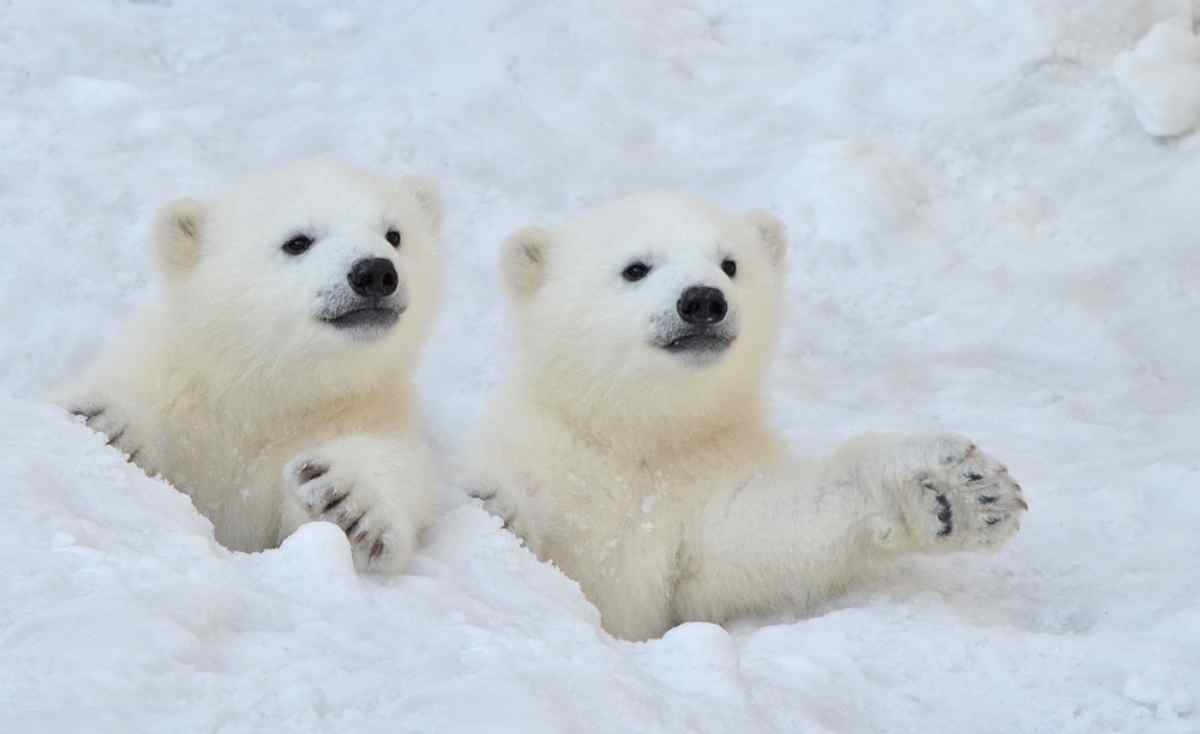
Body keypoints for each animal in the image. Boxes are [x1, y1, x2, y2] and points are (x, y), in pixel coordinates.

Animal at [59, 161, 444, 572]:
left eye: (394, 234)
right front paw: (108, 425)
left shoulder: (365, 411)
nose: (374, 273)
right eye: (297, 241)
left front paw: (347, 501)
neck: (261, 395)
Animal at [466, 193, 1028, 641]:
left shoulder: (706, 482)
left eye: (729, 263)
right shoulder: (553, 463)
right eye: (635, 268)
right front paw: (493, 507)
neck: (640, 437)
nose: (702, 300)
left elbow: (757, 537)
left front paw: (956, 490)